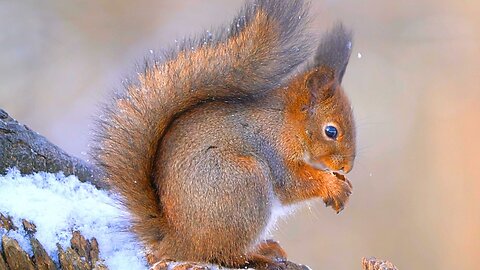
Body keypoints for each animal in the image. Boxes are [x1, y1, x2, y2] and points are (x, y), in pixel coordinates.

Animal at [92, 0, 354, 268]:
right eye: (331, 131)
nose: (347, 167)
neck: (286, 123)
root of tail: (176, 241)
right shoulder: (272, 148)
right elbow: (293, 182)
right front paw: (333, 186)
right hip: (245, 184)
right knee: (224, 253)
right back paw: (256, 255)